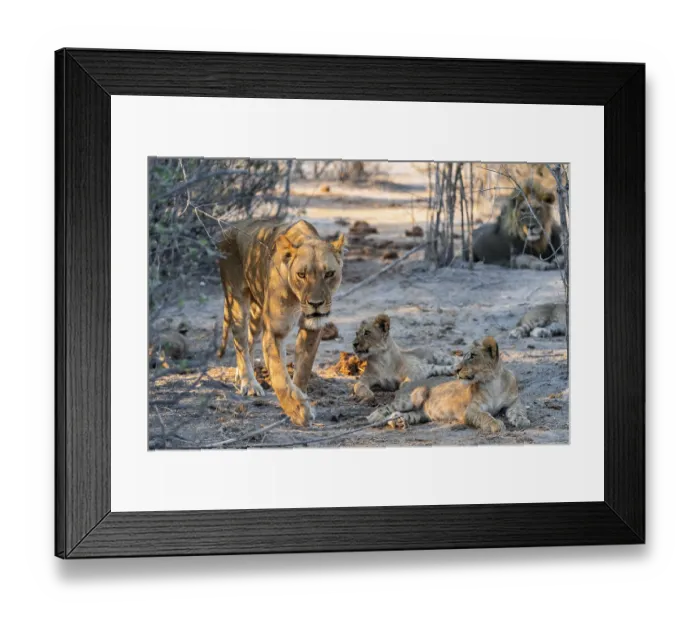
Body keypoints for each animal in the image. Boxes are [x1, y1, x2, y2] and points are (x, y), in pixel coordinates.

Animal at [216, 219, 345, 426]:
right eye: (301, 275)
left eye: (329, 274)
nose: (316, 304)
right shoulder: (275, 331)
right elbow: (279, 375)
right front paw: (297, 410)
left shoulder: (312, 329)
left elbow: (303, 369)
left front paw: (300, 396)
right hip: (236, 300)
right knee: (240, 344)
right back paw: (249, 383)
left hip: (257, 312)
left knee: (250, 341)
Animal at [367, 336, 530, 432]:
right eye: (463, 356)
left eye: (472, 356)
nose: (456, 369)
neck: (493, 382)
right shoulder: (471, 410)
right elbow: (485, 416)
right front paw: (496, 424)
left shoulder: (514, 402)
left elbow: (519, 410)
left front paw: (522, 421)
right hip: (412, 398)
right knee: (389, 406)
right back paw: (374, 417)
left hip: (420, 415)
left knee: (402, 414)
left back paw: (398, 422)